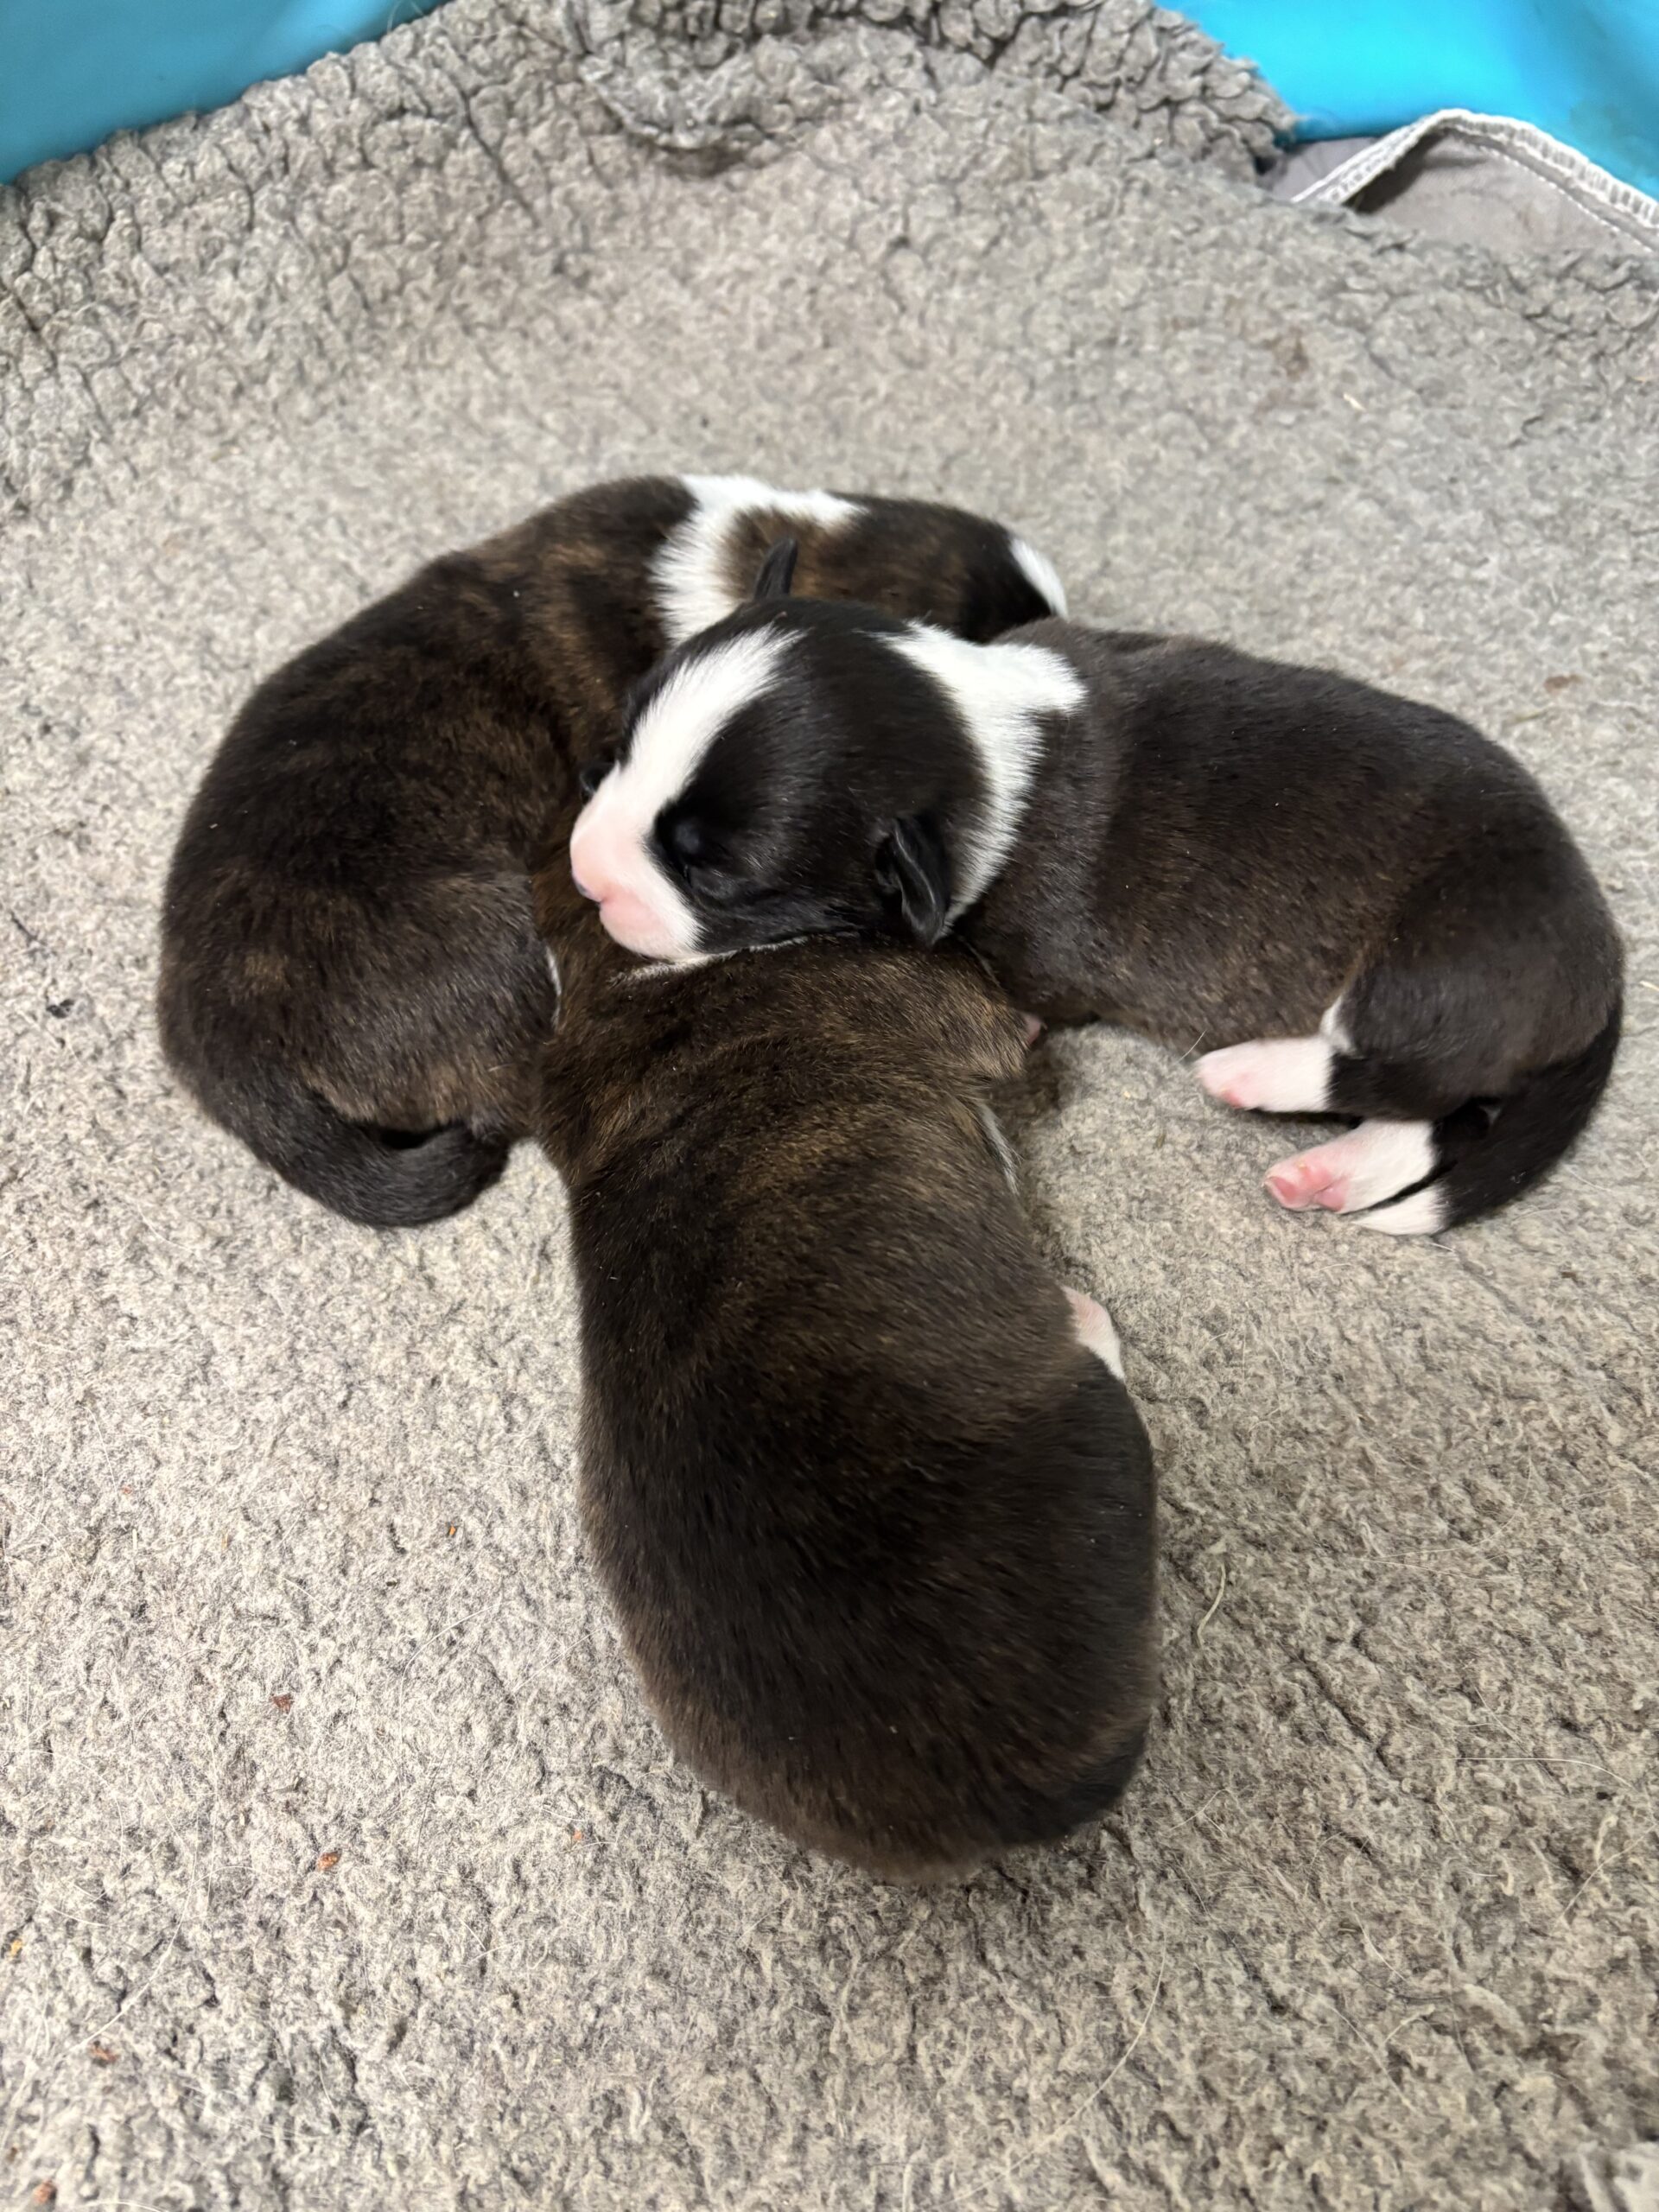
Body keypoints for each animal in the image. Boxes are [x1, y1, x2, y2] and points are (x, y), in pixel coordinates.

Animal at [570, 544, 1622, 1234]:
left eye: (714, 871)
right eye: (620, 747)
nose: (584, 873)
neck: (974, 745)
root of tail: (1606, 959)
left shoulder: (1029, 963)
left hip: (1442, 964)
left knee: (1410, 1076)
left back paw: (1251, 1073)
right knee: (1440, 1120)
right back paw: (1328, 1172)